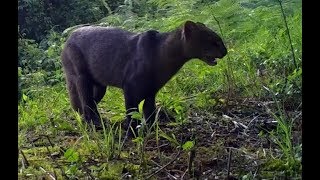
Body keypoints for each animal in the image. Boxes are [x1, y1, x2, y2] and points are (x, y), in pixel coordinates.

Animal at [62, 20, 228, 134]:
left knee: (86, 104)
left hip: (100, 86)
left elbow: (149, 112)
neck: (162, 55)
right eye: (213, 41)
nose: (225, 51)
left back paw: (97, 121)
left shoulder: (151, 91)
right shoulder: (129, 87)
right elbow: (131, 111)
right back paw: (95, 124)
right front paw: (132, 132)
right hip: (81, 77)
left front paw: (151, 130)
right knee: (86, 102)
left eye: (219, 39)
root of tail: (68, 38)